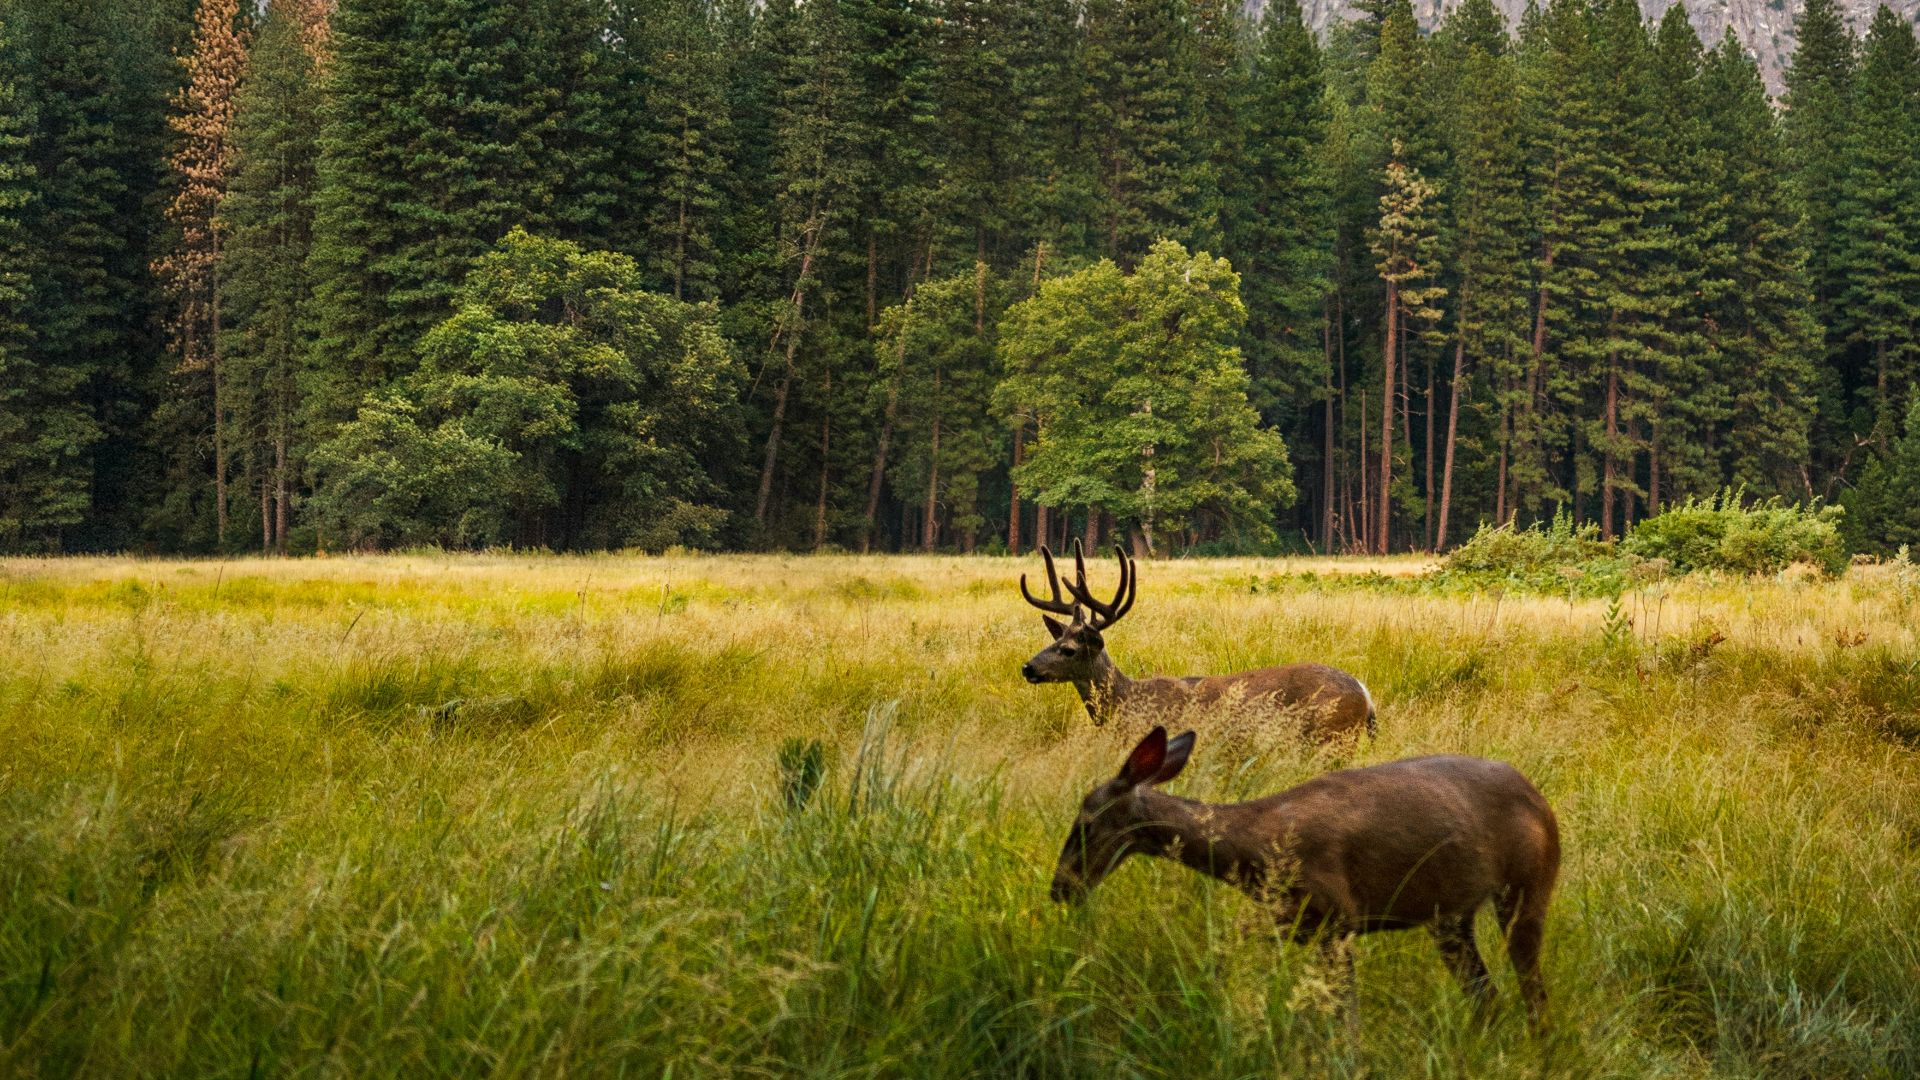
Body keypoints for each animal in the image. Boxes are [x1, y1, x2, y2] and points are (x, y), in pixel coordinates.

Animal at [1018, 541, 1375, 742]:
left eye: (1068, 649)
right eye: (1053, 640)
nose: (1027, 667)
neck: (1126, 701)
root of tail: (1365, 694)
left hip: (1334, 737)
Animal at [1051, 726, 1561, 1030]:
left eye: (1085, 823)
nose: (1060, 889)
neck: (1256, 848)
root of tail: (1542, 802)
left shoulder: (1338, 918)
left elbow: (1346, 1017)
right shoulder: (1290, 922)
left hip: (1528, 887)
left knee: (1533, 994)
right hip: (1450, 918)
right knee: (1487, 995)